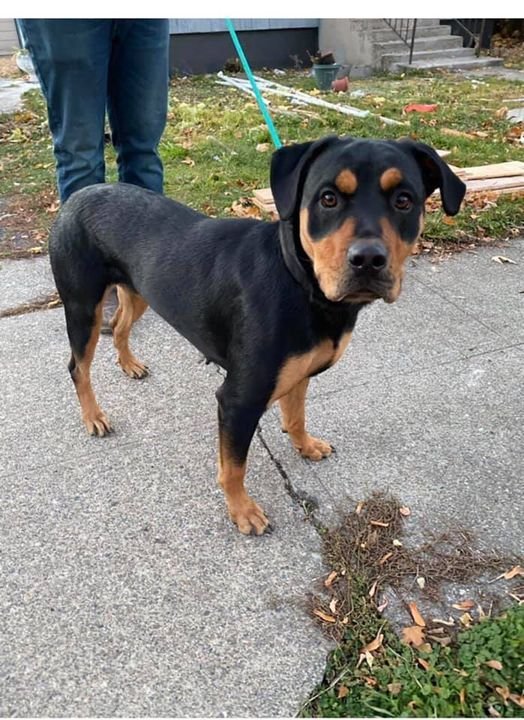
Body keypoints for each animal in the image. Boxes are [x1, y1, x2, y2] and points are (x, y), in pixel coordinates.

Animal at [49, 135, 466, 535]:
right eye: (328, 198)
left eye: (404, 200)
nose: (367, 260)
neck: (300, 283)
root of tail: (78, 196)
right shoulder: (238, 400)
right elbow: (234, 466)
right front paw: (243, 511)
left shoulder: (299, 373)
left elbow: (295, 417)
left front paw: (305, 446)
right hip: (83, 307)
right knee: (78, 367)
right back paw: (94, 417)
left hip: (139, 292)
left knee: (120, 326)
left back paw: (129, 364)